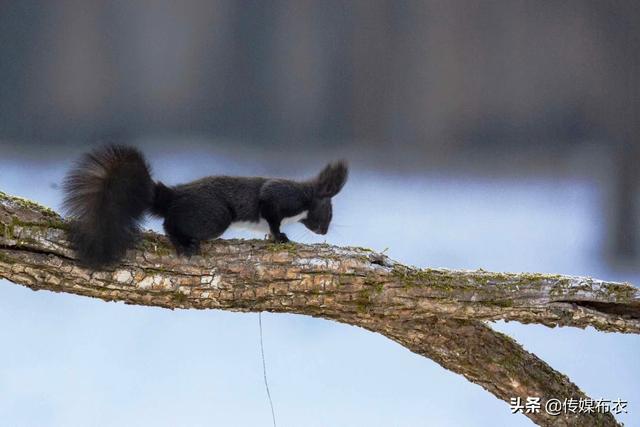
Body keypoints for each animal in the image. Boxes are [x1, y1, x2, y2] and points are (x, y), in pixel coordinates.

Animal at [62, 146, 348, 268]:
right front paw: (280, 238)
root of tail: (174, 196)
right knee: (170, 223)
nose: (324, 231)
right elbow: (271, 215)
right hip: (214, 217)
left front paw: (272, 237)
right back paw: (184, 244)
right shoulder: (280, 197)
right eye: (328, 212)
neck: (304, 199)